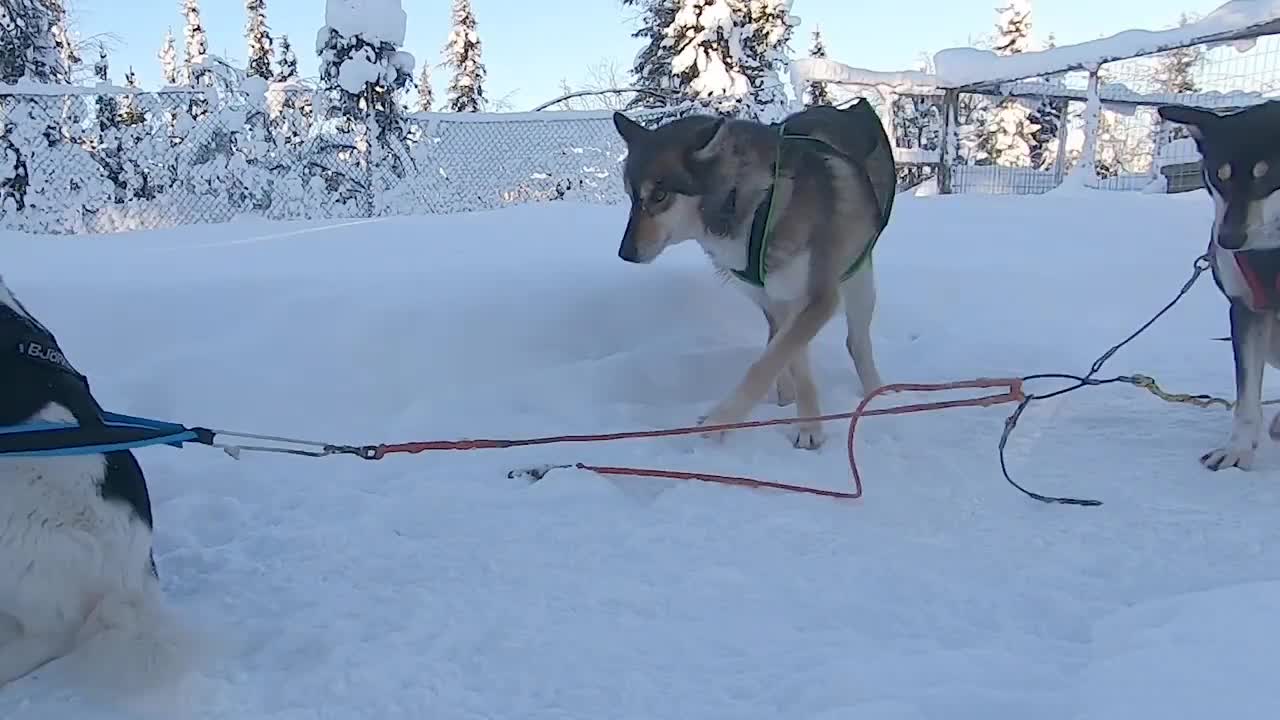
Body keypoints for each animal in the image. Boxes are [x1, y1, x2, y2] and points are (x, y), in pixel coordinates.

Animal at [1167, 101, 1280, 471]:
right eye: (1219, 175)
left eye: (1268, 175)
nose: (1228, 240)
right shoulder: (1246, 310)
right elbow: (1246, 399)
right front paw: (1237, 449)